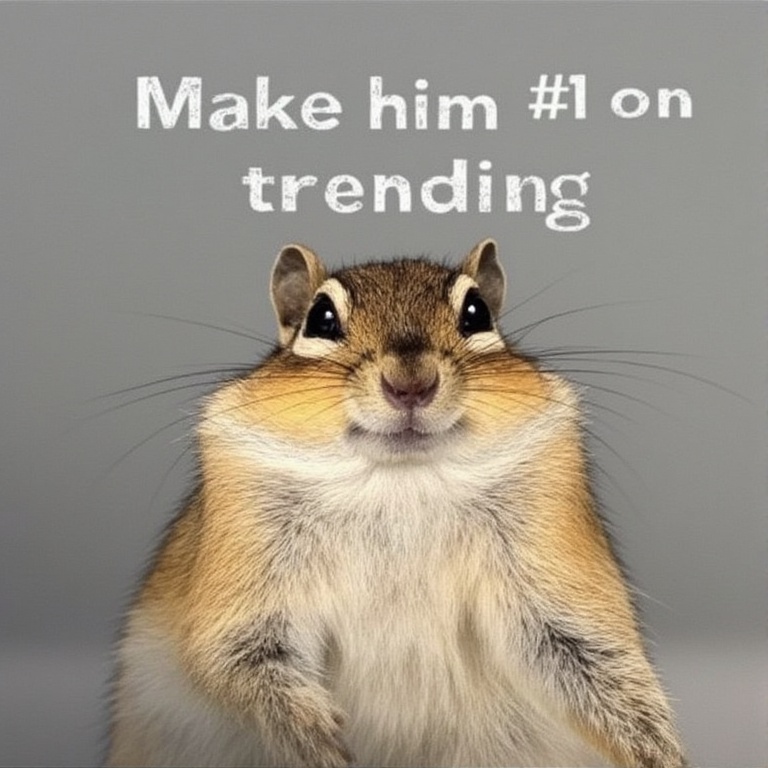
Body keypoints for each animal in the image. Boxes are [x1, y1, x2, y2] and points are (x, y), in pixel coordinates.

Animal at [106, 239, 688, 768]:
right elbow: (235, 659)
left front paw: (662, 755)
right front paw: (317, 743)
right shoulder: (247, 563)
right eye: (320, 319)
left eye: (477, 312)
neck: (400, 482)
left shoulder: (552, 574)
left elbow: (599, 670)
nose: (411, 384)